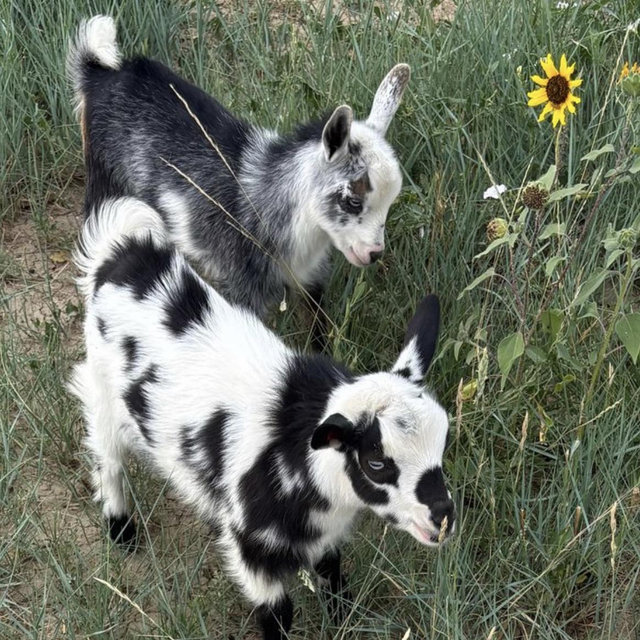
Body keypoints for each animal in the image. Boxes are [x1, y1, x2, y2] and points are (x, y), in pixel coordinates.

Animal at [67, 16, 410, 331]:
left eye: (390, 203)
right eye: (353, 201)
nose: (374, 253)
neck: (270, 196)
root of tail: (101, 71)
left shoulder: (312, 281)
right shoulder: (242, 287)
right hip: (104, 176)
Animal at [69, 197, 454, 640]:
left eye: (443, 440)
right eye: (375, 462)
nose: (443, 519)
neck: (298, 458)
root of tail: (125, 249)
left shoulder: (324, 537)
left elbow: (334, 577)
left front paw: (343, 620)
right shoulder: (249, 548)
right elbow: (278, 614)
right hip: (101, 392)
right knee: (107, 457)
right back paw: (121, 529)